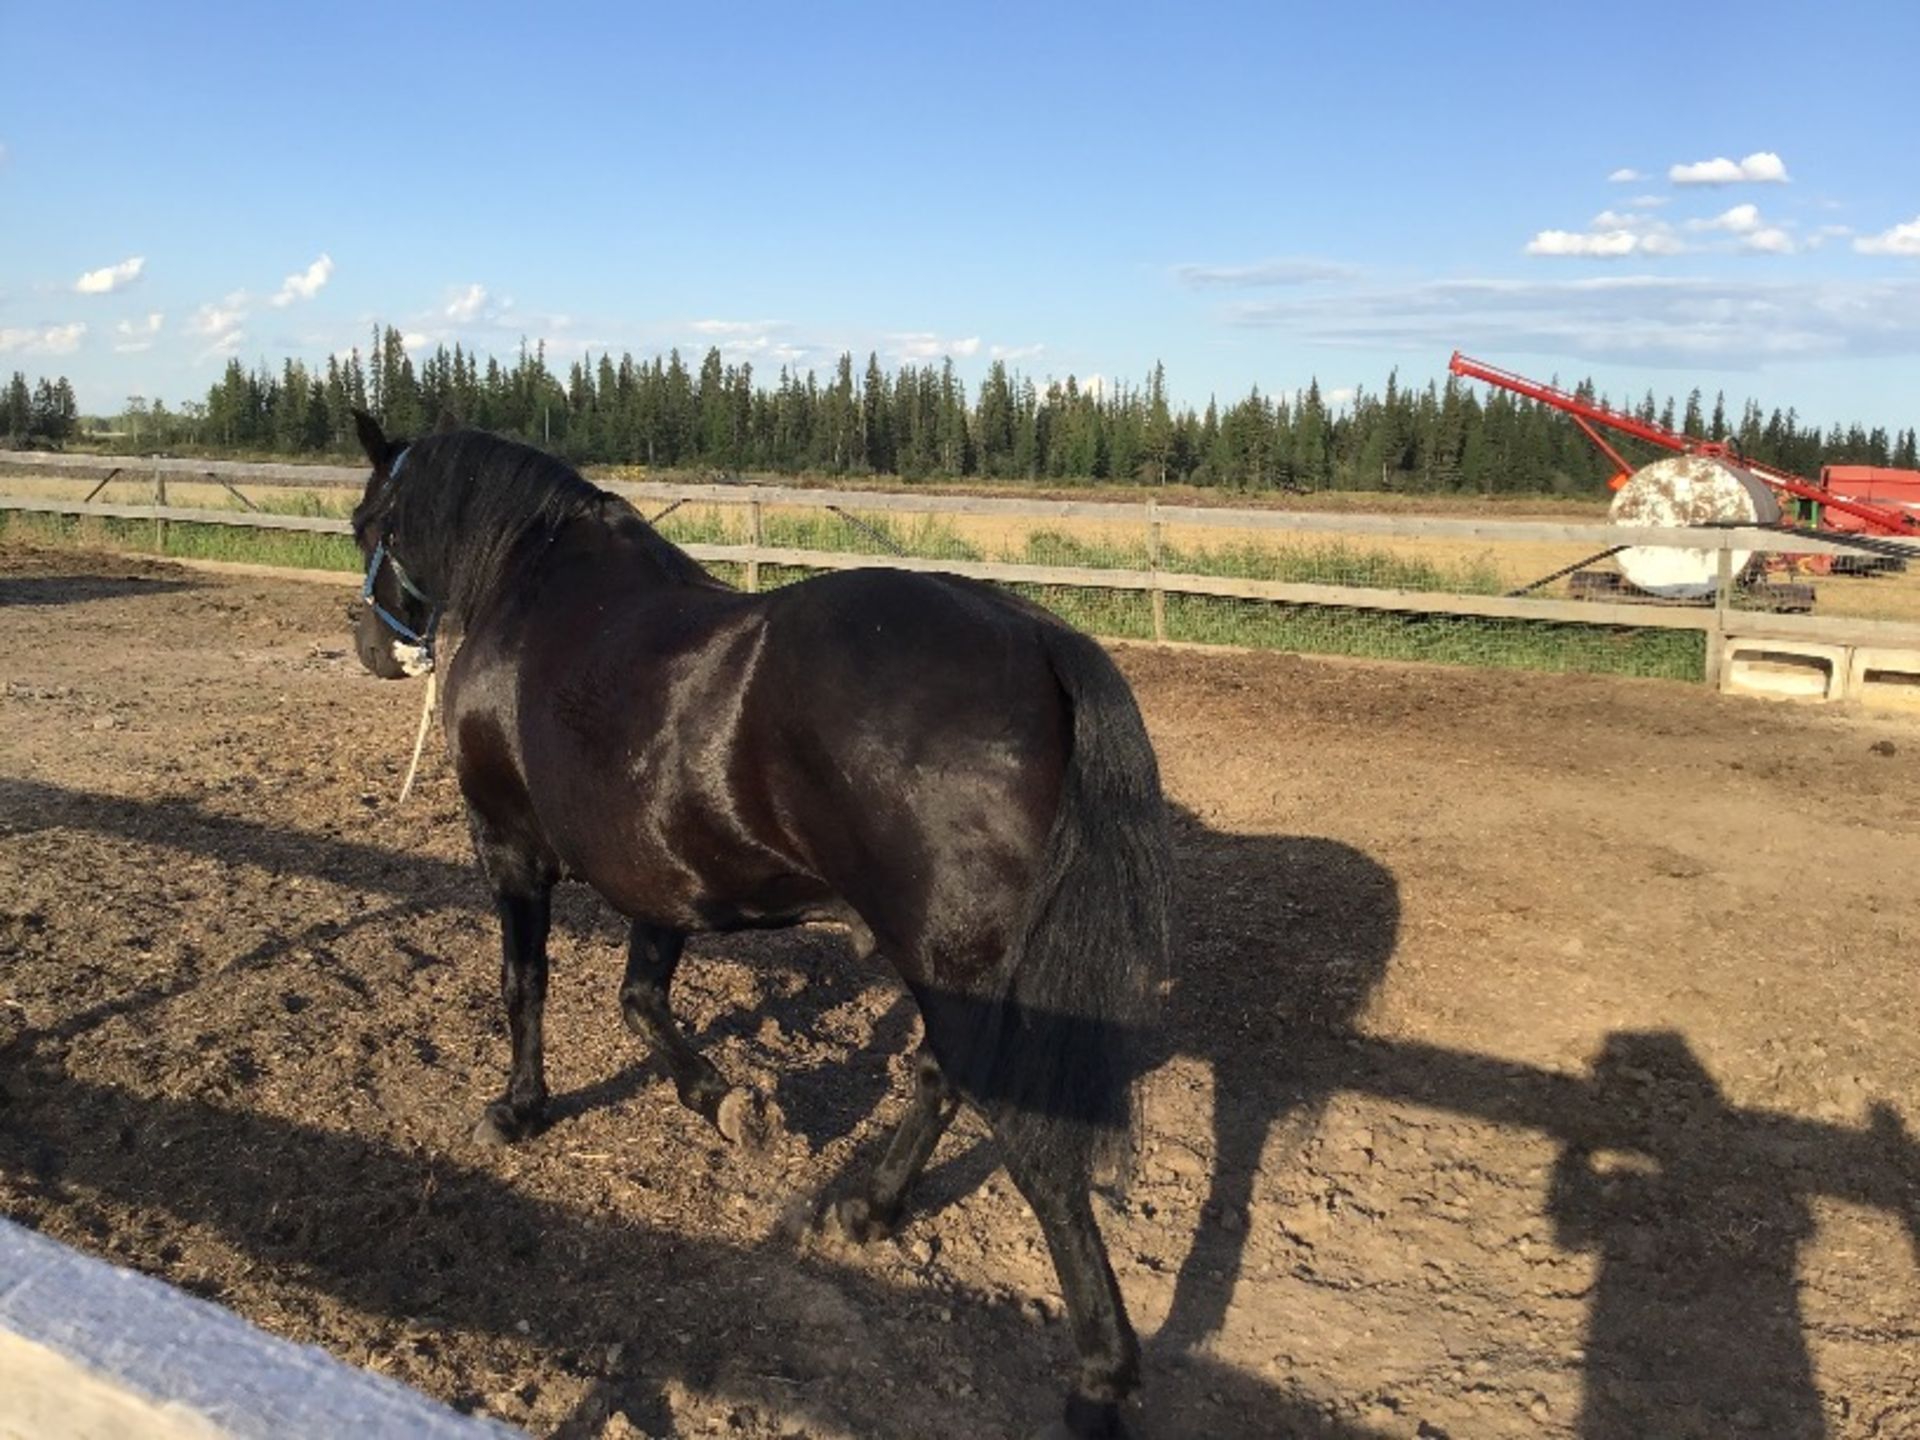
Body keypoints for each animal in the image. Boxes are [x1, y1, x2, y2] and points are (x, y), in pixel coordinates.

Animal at [353, 410, 1175, 1436]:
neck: (535, 593)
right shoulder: (663, 880)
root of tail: (1038, 640)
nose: (370, 646)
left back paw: (1100, 1376)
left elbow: (525, 984)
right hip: (959, 972)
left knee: (1035, 1149)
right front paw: (727, 1101)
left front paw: (519, 1108)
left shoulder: (509, 850)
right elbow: (641, 1000)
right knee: (941, 1079)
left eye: (365, 523)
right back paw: (869, 1210)